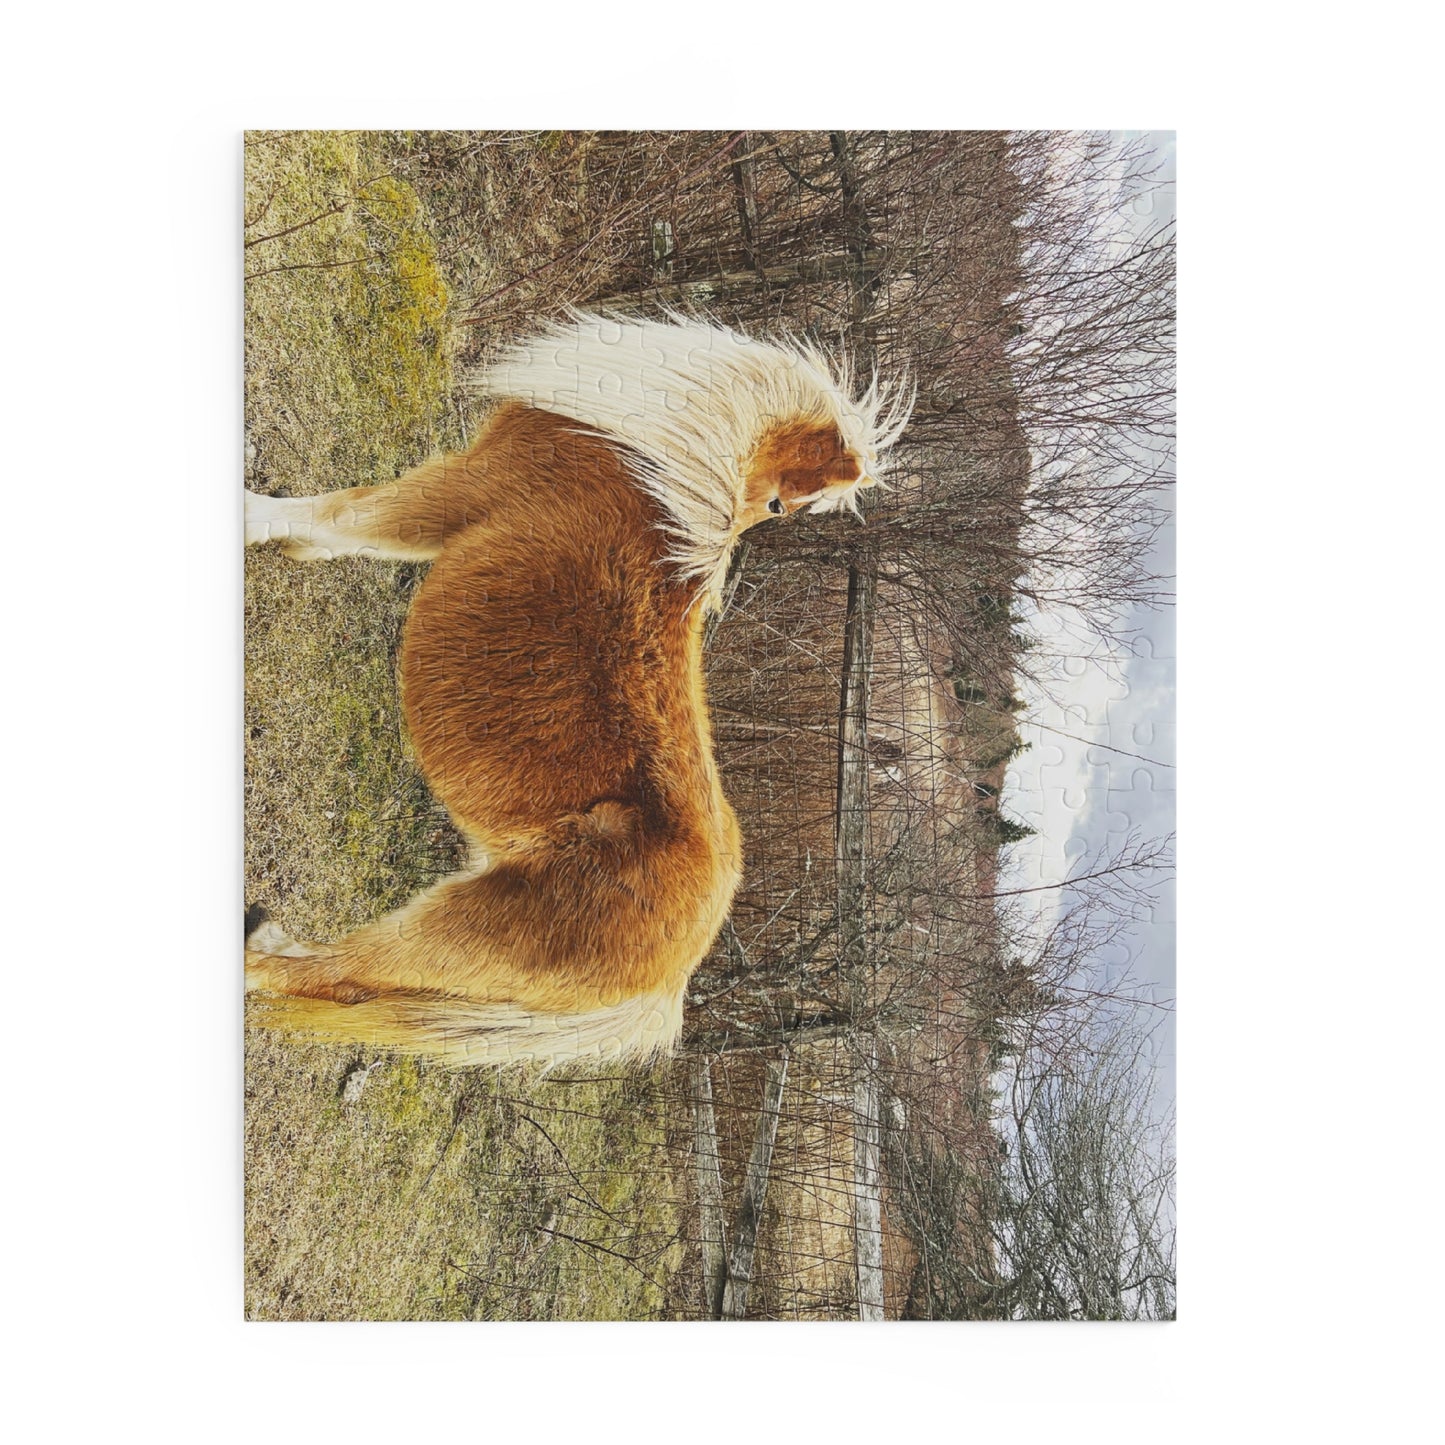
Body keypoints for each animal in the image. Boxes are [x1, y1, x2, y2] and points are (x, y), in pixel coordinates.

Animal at [244, 312, 910, 1067]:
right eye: (778, 503)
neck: (659, 471)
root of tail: (675, 976)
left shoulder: (457, 491)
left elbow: (341, 513)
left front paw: (252, 517)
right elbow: (337, 533)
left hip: (450, 931)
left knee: (338, 973)